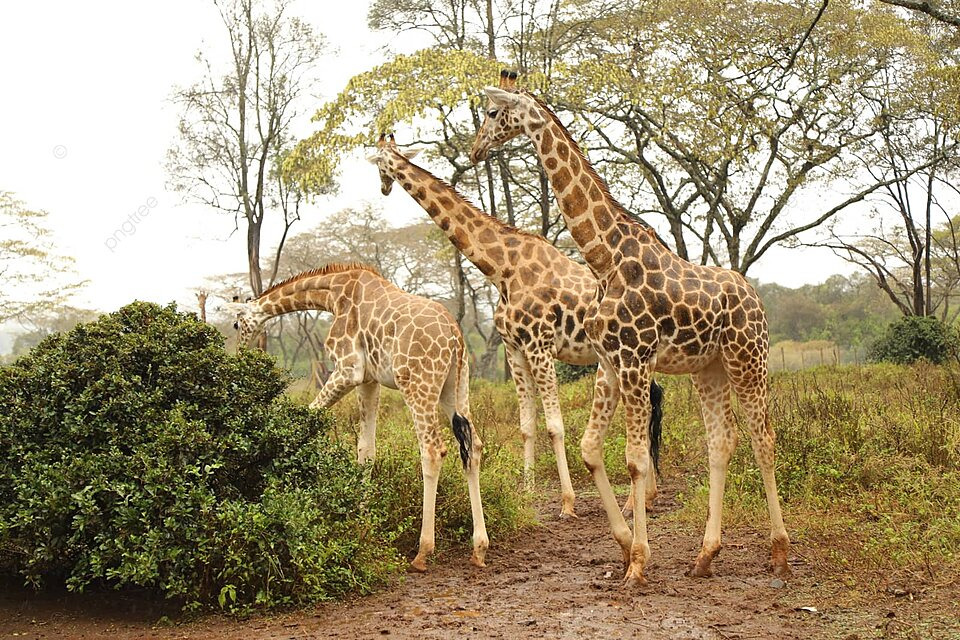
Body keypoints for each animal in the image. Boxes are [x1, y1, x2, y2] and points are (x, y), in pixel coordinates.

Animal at [226, 263, 488, 572]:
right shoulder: (369, 380)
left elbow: (307, 416)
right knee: (474, 447)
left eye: (235, 325)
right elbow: (366, 450)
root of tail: (454, 335)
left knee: (432, 450)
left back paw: (423, 552)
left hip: (417, 383)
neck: (332, 294)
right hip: (456, 387)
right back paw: (479, 548)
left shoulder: (348, 370)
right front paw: (361, 518)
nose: (238, 354)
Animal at [367, 134, 664, 518]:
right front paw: (526, 491)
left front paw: (567, 502)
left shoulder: (540, 346)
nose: (384, 188)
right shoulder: (515, 350)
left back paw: (633, 501)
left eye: (379, 163)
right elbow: (526, 426)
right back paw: (650, 496)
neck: (501, 269)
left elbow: (555, 426)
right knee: (653, 402)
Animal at [469, 71, 790, 586]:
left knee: (764, 438)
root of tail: (755, 296)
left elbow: (635, 460)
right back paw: (705, 555)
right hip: (709, 368)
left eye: (494, 112)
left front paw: (638, 561)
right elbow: (600, 450)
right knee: (721, 443)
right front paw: (628, 550)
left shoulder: (635, 361)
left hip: (748, 358)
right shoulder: (612, 361)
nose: (476, 150)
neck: (605, 259)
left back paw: (779, 552)